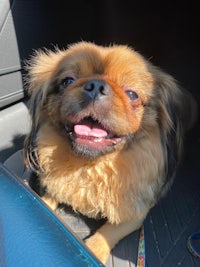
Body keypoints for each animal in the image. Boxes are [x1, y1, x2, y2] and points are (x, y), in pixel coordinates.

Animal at [23, 42, 197, 264]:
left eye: (132, 94)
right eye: (67, 81)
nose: (95, 86)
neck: (90, 165)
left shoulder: (134, 213)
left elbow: (106, 234)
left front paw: (93, 250)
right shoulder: (55, 187)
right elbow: (44, 201)